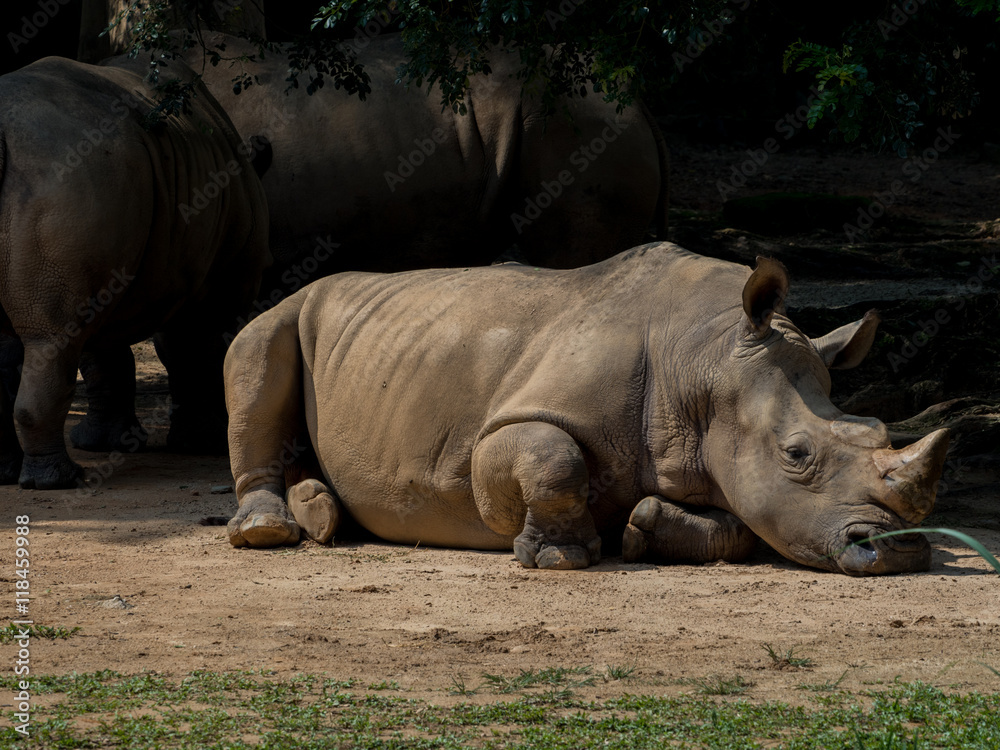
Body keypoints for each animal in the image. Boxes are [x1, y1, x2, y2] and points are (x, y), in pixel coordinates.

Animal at [0, 55, 269, 489]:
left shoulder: (116, 265)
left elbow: (107, 353)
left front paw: (111, 443)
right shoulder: (222, 277)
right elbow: (198, 347)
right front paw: (204, 444)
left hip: (76, 187)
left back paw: (17, 475)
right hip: (63, 179)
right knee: (52, 340)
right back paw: (60, 480)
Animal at [223, 243, 949, 576]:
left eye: (880, 431)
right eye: (797, 454)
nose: (903, 550)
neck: (707, 359)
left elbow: (739, 526)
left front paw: (640, 529)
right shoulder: (505, 427)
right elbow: (552, 458)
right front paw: (559, 557)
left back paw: (320, 513)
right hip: (290, 310)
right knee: (253, 355)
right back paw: (267, 532)